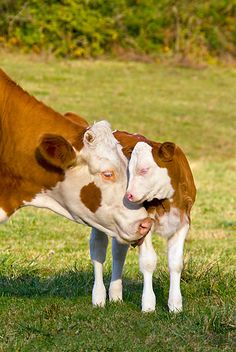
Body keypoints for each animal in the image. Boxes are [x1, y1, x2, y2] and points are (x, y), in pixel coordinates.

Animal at [90, 131, 195, 312]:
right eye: (129, 171)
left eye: (144, 170)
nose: (128, 196)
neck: (166, 200)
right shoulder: (146, 224)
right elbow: (148, 262)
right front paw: (148, 305)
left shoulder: (182, 223)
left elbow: (176, 263)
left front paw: (175, 305)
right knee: (98, 250)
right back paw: (98, 297)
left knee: (119, 252)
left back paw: (116, 295)